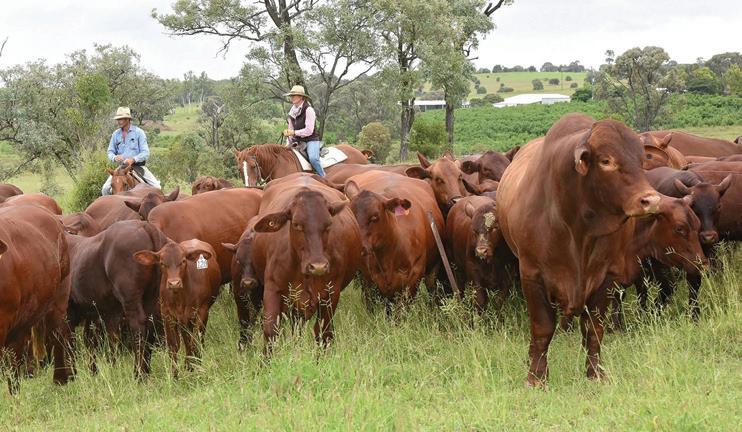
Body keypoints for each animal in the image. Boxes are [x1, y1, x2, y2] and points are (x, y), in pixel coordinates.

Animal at [66, 220, 169, 377]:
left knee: (138, 326)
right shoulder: (100, 312)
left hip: (130, 296)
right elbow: (102, 340)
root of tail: (145, 225)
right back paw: (145, 370)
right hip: (152, 296)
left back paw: (138, 374)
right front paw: (102, 370)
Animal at [133, 239, 221, 375]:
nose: (174, 283)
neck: (180, 298)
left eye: (183, 261)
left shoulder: (202, 311)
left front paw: (195, 366)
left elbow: (195, 341)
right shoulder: (167, 315)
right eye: (162, 263)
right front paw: (175, 374)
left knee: (197, 340)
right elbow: (173, 346)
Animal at [249, 173, 361, 349]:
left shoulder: (331, 294)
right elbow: (270, 331)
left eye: (328, 224)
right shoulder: (272, 290)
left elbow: (324, 333)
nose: (318, 266)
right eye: (297, 225)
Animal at [497, 113, 661, 385]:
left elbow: (594, 329)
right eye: (606, 160)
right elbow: (542, 328)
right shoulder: (531, 275)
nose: (650, 200)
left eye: (641, 160)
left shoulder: (607, 276)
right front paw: (536, 377)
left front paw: (595, 373)